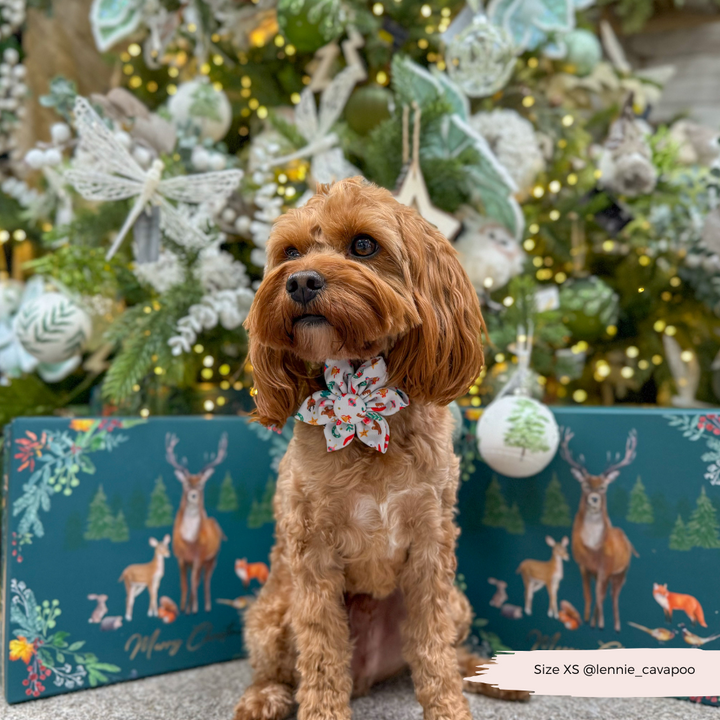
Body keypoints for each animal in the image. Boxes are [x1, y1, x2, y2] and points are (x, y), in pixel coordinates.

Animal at [236, 176, 528, 720]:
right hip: (271, 613)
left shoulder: (432, 547)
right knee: (278, 668)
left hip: (458, 602)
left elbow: (434, 652)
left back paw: (493, 676)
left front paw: (449, 709)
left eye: (364, 245)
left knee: (451, 651)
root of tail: (371, 675)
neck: (362, 403)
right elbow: (321, 654)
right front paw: (321, 712)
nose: (300, 281)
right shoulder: (312, 557)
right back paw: (264, 696)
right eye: (290, 252)